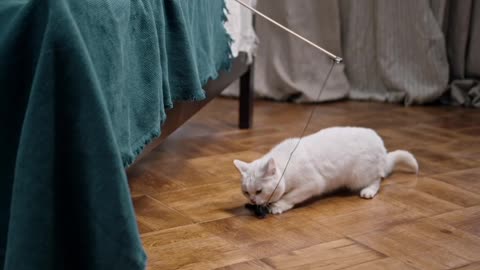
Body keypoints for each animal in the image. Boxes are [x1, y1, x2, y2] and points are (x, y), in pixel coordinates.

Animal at [234, 127, 418, 215]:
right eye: (246, 192)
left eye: (259, 191)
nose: (252, 200)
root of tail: (382, 146)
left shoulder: (313, 183)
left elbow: (291, 196)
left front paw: (278, 205)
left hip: (358, 175)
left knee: (378, 178)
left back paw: (368, 191)